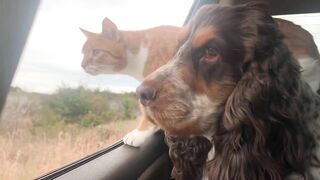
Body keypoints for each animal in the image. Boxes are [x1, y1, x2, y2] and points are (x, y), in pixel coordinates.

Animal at [80, 16, 320, 147]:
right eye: (83, 53)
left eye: (95, 52)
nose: (82, 65)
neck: (138, 53)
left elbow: (149, 110)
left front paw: (139, 134)